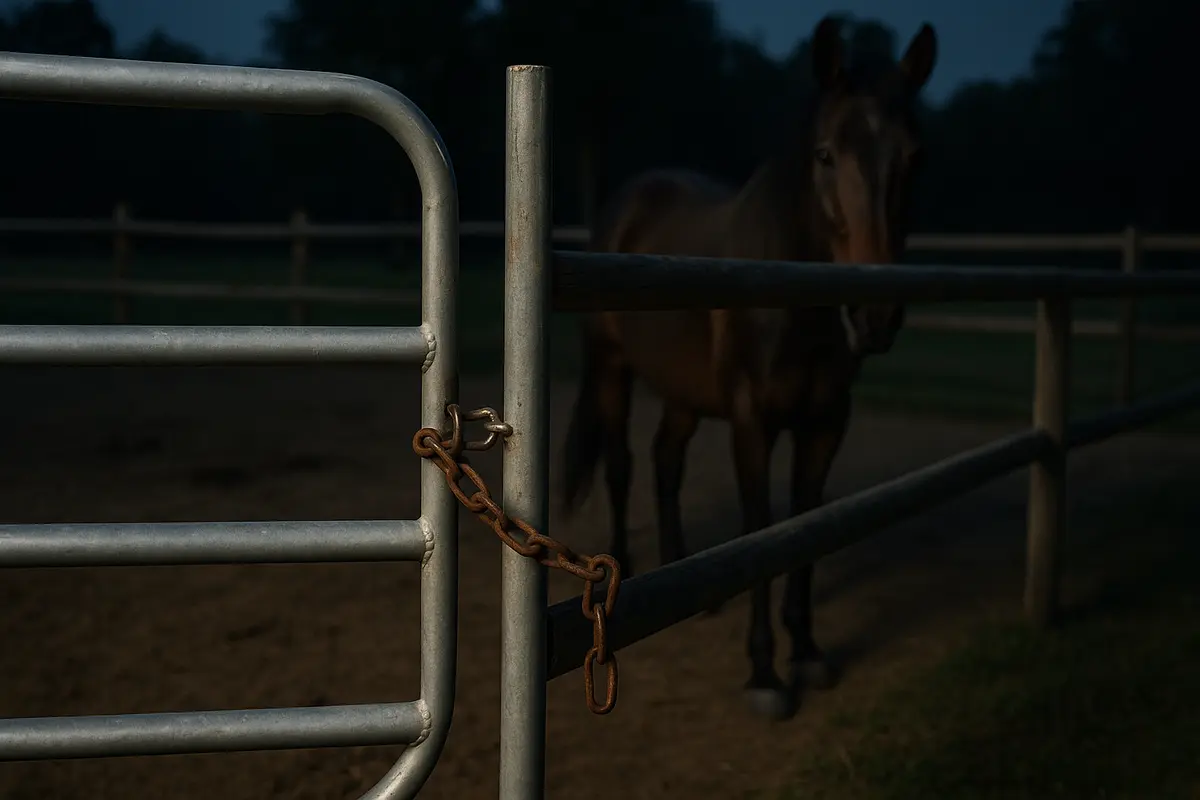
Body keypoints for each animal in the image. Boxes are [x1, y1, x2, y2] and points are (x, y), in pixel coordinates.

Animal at [558, 16, 938, 721]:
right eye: (825, 155)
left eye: (914, 157)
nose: (875, 313)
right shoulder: (750, 421)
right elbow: (761, 527)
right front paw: (764, 672)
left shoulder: (824, 424)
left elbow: (804, 524)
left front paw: (807, 651)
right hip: (612, 370)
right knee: (624, 464)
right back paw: (631, 567)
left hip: (684, 393)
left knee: (666, 459)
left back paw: (689, 579)